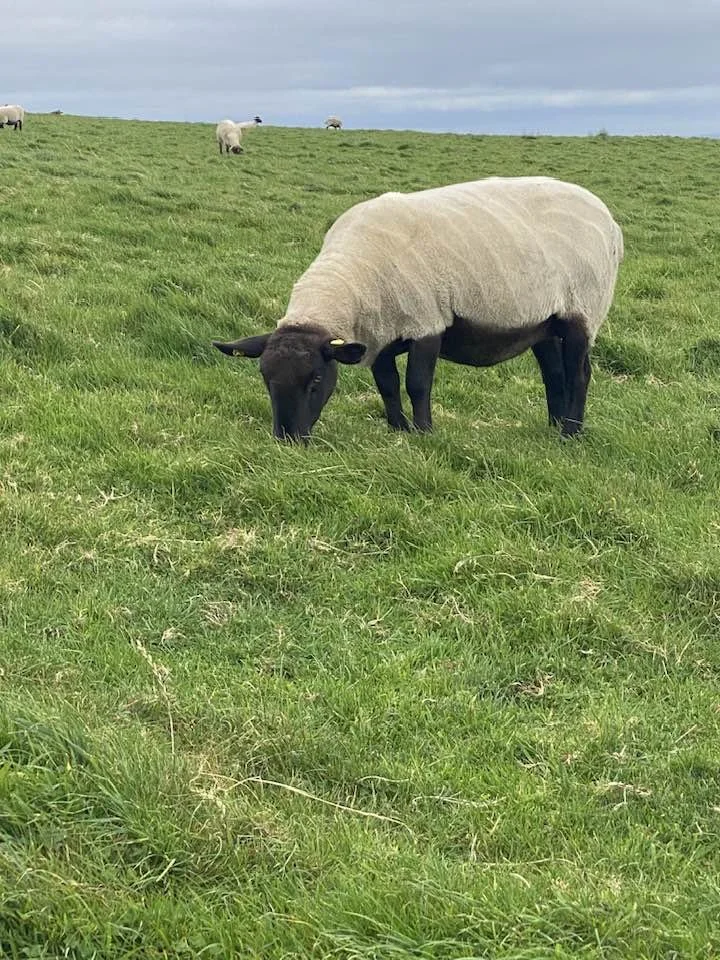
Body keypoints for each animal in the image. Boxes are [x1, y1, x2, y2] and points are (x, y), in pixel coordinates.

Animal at [212, 176, 624, 442]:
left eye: (315, 379)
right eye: (265, 378)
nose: (287, 440)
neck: (353, 276)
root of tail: (610, 221)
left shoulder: (427, 321)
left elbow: (417, 383)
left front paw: (424, 433)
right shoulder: (378, 332)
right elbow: (387, 386)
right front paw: (398, 429)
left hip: (583, 309)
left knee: (579, 374)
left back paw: (570, 434)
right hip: (543, 320)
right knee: (554, 373)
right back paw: (553, 426)